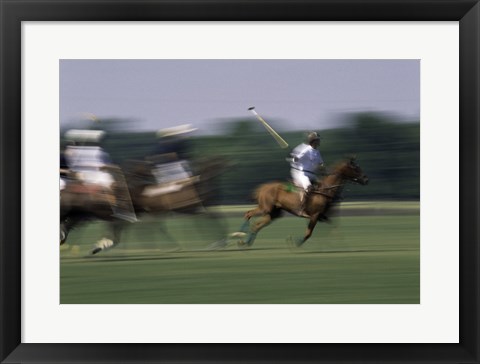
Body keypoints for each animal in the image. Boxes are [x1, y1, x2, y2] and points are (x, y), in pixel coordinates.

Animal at [238, 156, 370, 247]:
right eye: (356, 168)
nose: (366, 180)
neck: (325, 190)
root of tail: (262, 188)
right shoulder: (315, 215)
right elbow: (308, 233)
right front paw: (294, 243)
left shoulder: (322, 216)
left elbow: (334, 226)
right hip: (265, 207)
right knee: (248, 214)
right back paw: (240, 236)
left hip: (274, 213)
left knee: (256, 225)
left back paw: (246, 242)